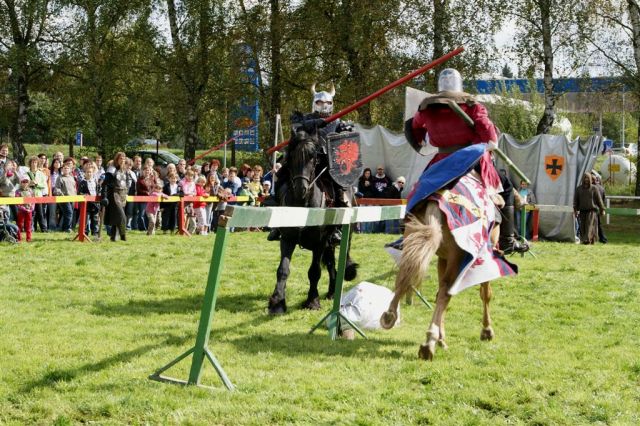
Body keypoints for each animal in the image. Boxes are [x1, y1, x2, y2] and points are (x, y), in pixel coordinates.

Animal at [268, 128, 358, 314]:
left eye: (313, 158)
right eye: (291, 157)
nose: (301, 189)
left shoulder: (320, 243)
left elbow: (314, 271)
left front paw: (312, 301)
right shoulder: (287, 239)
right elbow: (283, 270)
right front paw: (277, 303)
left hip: (345, 234)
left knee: (342, 257)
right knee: (331, 263)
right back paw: (331, 291)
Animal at [382, 173, 502, 360]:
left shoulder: (442, 258)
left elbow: (439, 294)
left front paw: (441, 337)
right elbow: (485, 293)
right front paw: (487, 330)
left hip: (413, 239)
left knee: (405, 276)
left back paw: (391, 315)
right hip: (456, 255)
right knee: (446, 291)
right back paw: (428, 343)